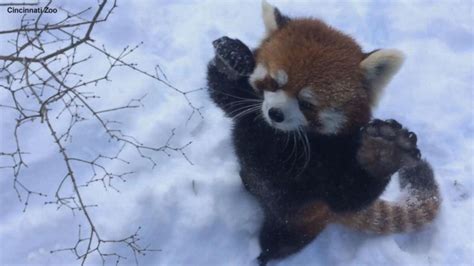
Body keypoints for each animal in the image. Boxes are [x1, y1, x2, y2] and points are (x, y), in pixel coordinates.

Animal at [206, 1, 440, 264]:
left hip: (302, 220)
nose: (275, 113)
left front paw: (383, 152)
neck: (278, 135)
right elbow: (225, 94)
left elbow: (348, 194)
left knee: (282, 241)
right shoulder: (251, 116)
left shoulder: (329, 163)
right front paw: (232, 59)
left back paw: (265, 255)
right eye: (274, 83)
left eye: (306, 103)